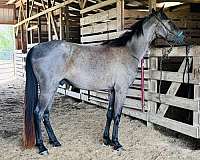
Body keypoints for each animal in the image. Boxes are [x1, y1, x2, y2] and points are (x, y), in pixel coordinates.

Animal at [23, 7, 184, 155]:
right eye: (169, 21)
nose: (182, 38)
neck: (128, 51)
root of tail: (35, 48)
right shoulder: (121, 91)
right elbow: (117, 116)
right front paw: (117, 143)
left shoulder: (112, 91)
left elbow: (109, 114)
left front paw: (107, 140)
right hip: (47, 90)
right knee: (38, 113)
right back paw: (42, 147)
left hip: (52, 90)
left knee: (46, 114)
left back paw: (55, 141)